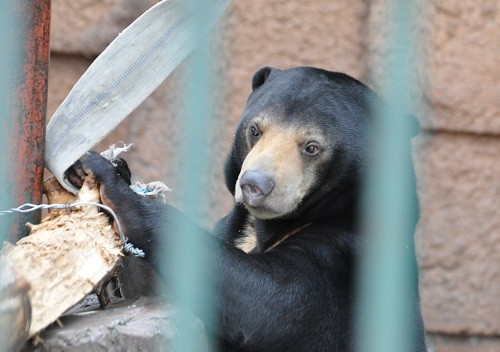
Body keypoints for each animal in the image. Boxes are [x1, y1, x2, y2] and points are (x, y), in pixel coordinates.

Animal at [69, 66, 426, 352]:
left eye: (312, 147)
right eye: (255, 130)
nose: (255, 185)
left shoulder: (346, 262)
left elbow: (268, 302)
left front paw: (106, 175)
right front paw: (113, 168)